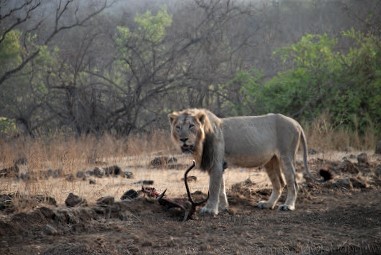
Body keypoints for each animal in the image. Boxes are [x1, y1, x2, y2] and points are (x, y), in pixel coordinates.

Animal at [168, 107, 320, 215]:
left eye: (191, 126)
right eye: (178, 127)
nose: (183, 139)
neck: (200, 144)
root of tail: (296, 123)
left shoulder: (216, 164)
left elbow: (214, 187)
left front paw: (210, 209)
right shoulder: (219, 165)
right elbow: (221, 188)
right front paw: (223, 207)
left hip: (286, 156)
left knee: (293, 183)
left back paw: (288, 206)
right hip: (271, 161)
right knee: (280, 183)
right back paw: (268, 204)